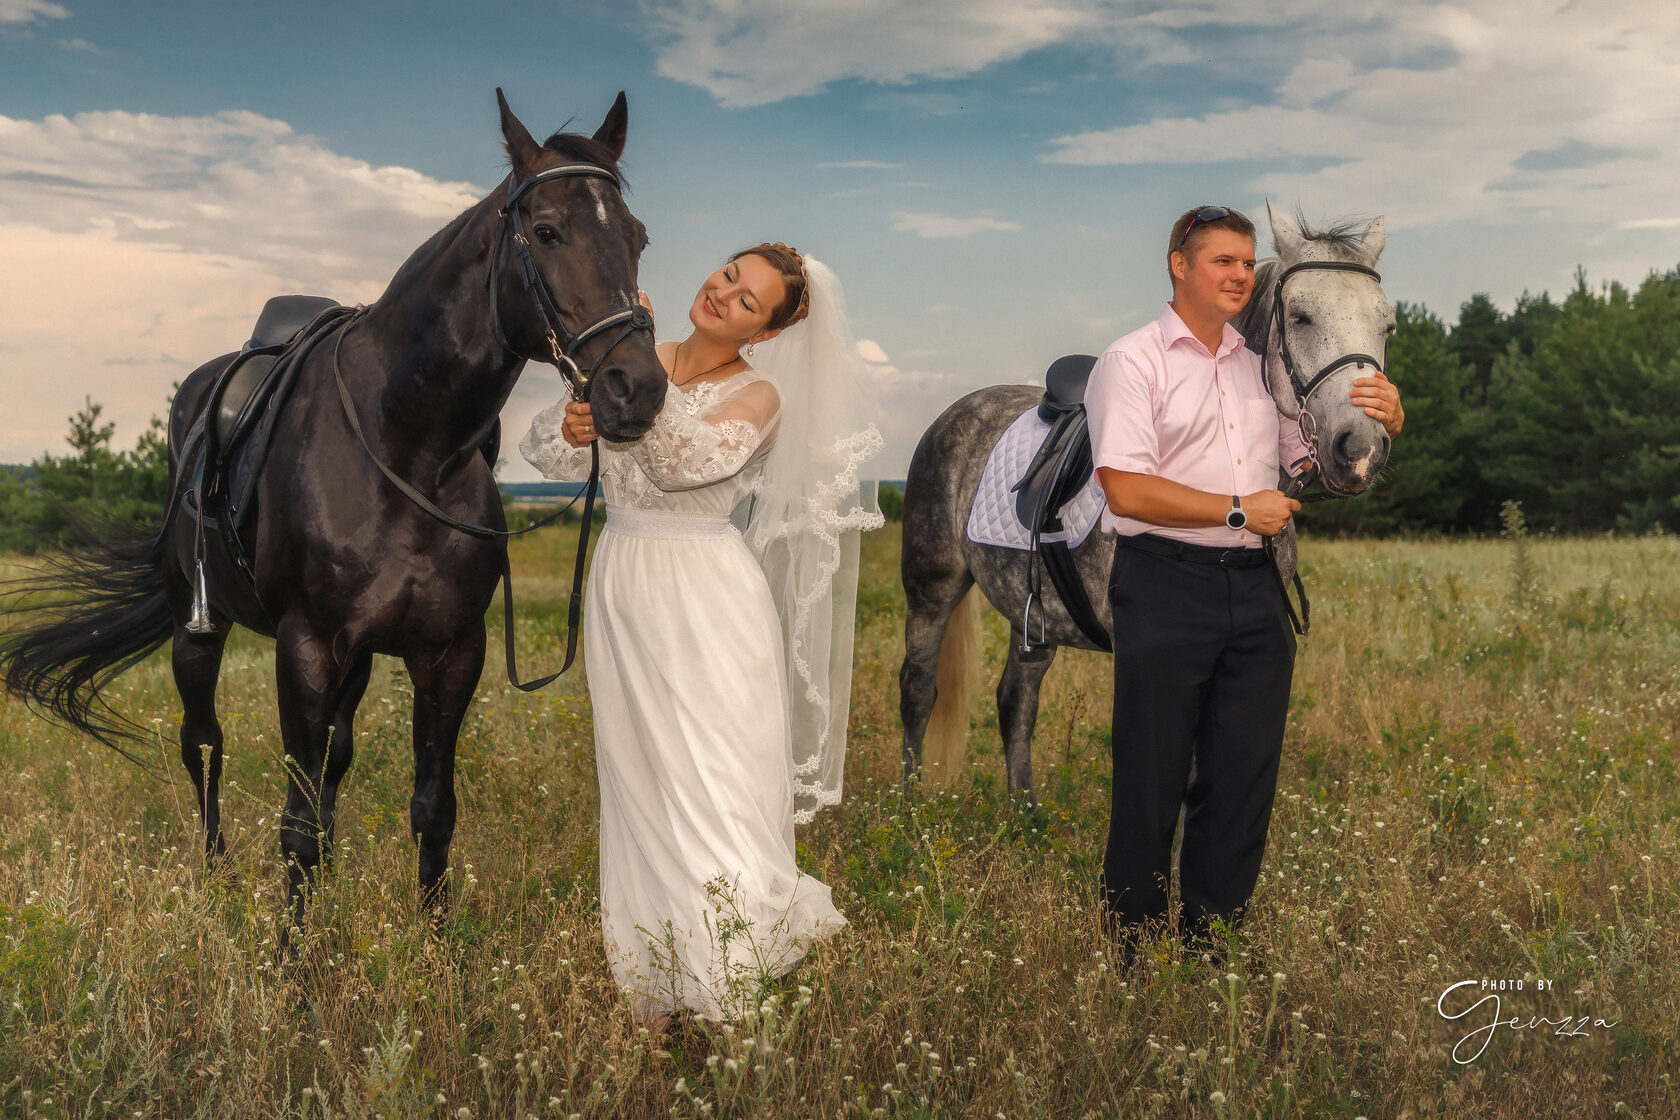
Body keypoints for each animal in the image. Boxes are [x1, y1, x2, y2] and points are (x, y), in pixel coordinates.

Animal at [0, 91, 668, 926]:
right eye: (546, 230)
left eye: (637, 237)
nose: (637, 389)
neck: (406, 445)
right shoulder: (307, 647)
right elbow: (296, 816)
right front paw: (294, 952)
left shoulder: (451, 652)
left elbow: (430, 807)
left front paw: (433, 941)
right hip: (201, 625)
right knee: (203, 742)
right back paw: (216, 877)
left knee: (329, 764)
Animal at [900, 205, 1397, 802]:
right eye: (1299, 317)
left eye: (1387, 325)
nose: (1360, 449)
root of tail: (953, 415)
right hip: (932, 589)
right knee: (918, 690)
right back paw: (905, 808)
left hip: (1031, 614)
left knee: (1016, 700)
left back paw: (1026, 812)